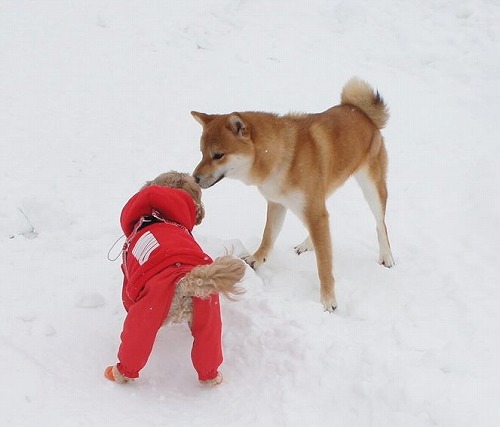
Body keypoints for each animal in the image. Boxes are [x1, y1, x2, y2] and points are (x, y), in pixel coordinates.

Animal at [105, 172, 246, 386]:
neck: (159, 216)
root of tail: (184, 282)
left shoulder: (128, 285)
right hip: (209, 317)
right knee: (207, 352)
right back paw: (212, 379)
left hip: (145, 315)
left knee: (133, 348)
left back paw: (117, 374)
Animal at [191, 77, 394, 310]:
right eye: (202, 153)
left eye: (218, 155)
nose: (194, 178)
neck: (280, 157)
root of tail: (362, 113)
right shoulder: (278, 203)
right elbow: (268, 237)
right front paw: (255, 260)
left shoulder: (313, 211)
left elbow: (324, 264)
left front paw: (328, 299)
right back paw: (308, 243)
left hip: (372, 189)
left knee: (380, 224)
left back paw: (386, 256)